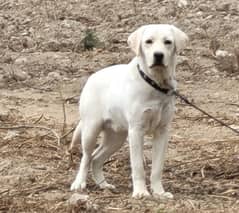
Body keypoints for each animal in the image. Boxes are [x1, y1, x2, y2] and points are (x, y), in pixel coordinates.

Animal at [70, 24, 188, 199]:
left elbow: (157, 168)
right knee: (86, 157)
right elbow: (138, 166)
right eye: (148, 41)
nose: (158, 55)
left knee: (96, 158)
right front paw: (140, 192)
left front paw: (159, 192)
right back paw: (79, 183)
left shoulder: (162, 132)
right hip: (91, 129)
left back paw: (103, 185)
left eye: (168, 42)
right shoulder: (136, 131)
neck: (155, 83)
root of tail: (92, 77)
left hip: (116, 137)